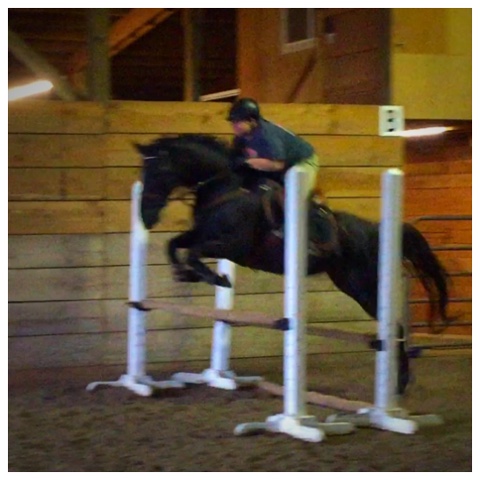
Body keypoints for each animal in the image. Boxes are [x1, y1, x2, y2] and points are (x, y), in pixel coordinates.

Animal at [135, 134, 451, 393]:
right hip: (349, 282)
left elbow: (193, 252)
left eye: (160, 170)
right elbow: (174, 244)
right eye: (144, 172)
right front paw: (184, 274)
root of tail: (375, 230)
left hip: (364, 286)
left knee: (394, 329)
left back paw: (399, 385)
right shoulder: (203, 234)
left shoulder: (235, 247)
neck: (224, 187)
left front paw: (216, 278)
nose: (146, 217)